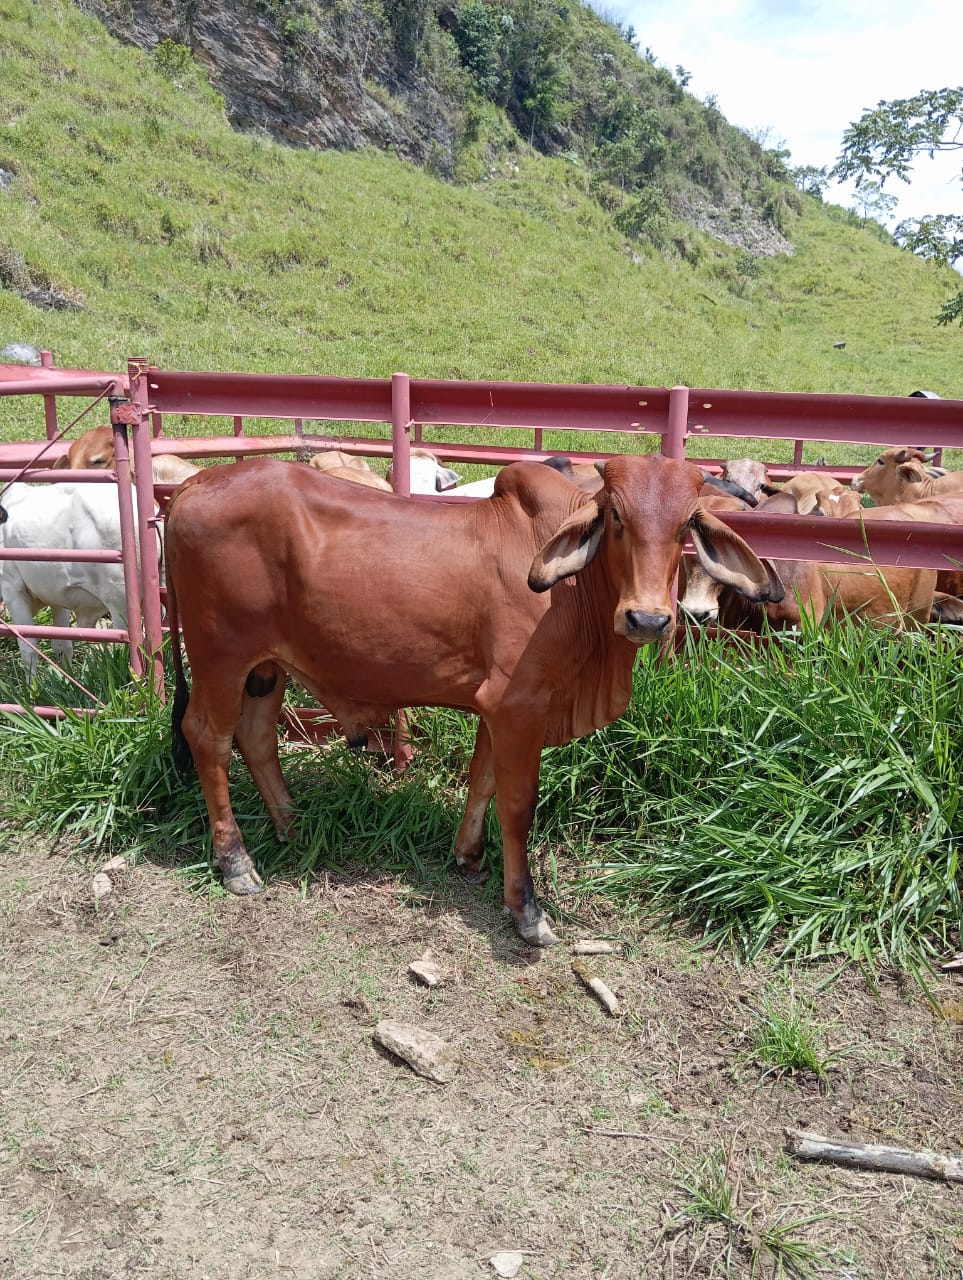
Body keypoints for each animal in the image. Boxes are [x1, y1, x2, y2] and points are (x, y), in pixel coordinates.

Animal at [0, 481, 160, 680]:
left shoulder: (12, 588)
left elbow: (28, 647)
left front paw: (32, 687)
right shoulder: (56, 595)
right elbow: (62, 645)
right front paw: (66, 678)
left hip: (119, 601)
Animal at [160, 455, 773, 947]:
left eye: (685, 524)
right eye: (617, 517)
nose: (647, 618)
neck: (575, 594)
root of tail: (194, 483)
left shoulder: (495, 711)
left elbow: (482, 782)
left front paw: (468, 856)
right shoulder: (519, 706)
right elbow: (517, 805)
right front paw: (526, 911)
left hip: (266, 668)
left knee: (256, 736)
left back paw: (293, 826)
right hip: (221, 657)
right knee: (209, 739)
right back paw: (236, 862)